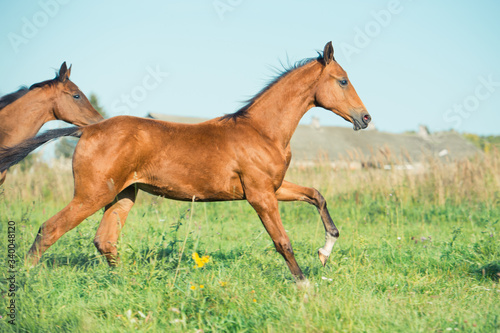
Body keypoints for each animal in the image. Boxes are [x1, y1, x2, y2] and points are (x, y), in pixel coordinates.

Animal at [0, 41, 370, 280]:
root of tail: (86, 130)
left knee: (105, 241)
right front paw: (304, 285)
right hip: (92, 195)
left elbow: (316, 195)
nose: (365, 118)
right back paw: (25, 281)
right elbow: (282, 240)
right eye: (343, 80)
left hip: (122, 195)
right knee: (50, 229)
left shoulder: (274, 187)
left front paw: (324, 252)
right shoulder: (260, 195)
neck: (262, 131)